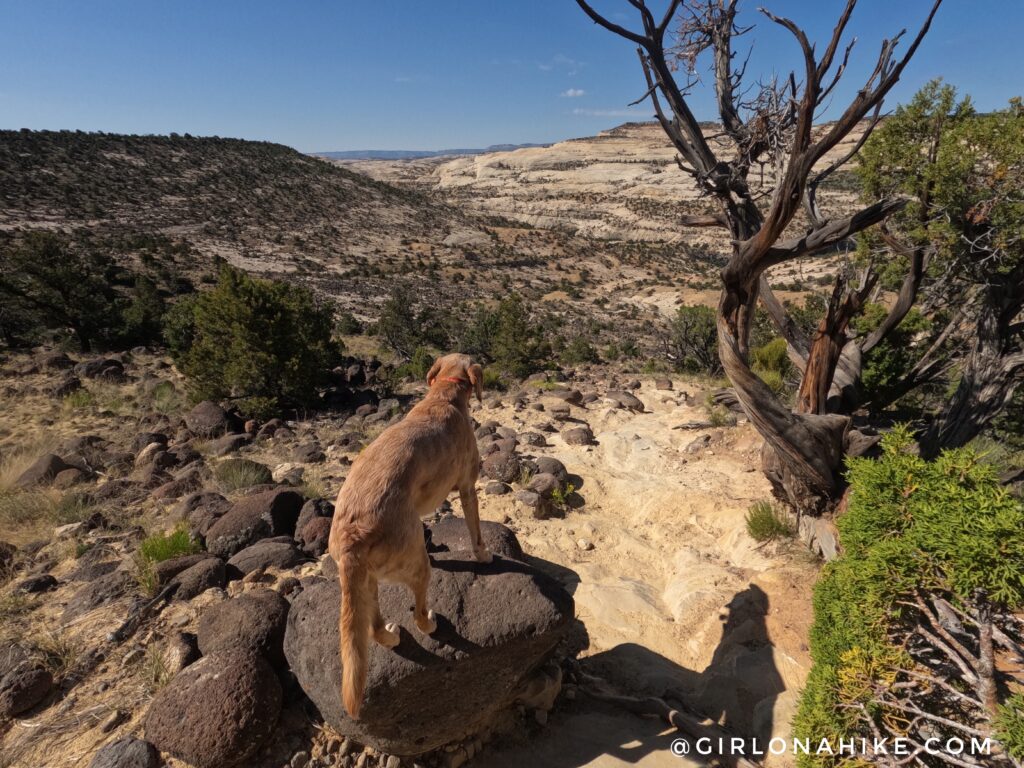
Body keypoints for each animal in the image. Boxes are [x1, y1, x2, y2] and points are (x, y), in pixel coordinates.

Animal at [325, 352, 489, 720]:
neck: (444, 392)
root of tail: (352, 535)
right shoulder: (467, 487)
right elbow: (475, 529)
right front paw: (483, 554)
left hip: (366, 579)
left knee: (371, 628)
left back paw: (390, 635)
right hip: (415, 563)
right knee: (417, 613)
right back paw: (430, 622)